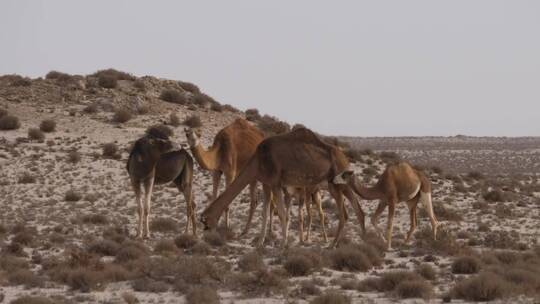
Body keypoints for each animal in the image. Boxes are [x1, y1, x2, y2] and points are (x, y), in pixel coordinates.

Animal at [200, 127, 364, 248]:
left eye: (205, 223)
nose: (206, 237)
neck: (256, 162)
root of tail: (344, 157)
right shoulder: (266, 183)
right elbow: (265, 213)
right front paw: (260, 243)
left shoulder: (276, 183)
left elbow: (282, 213)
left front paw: (283, 244)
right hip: (339, 183)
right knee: (356, 208)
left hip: (336, 182)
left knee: (345, 211)